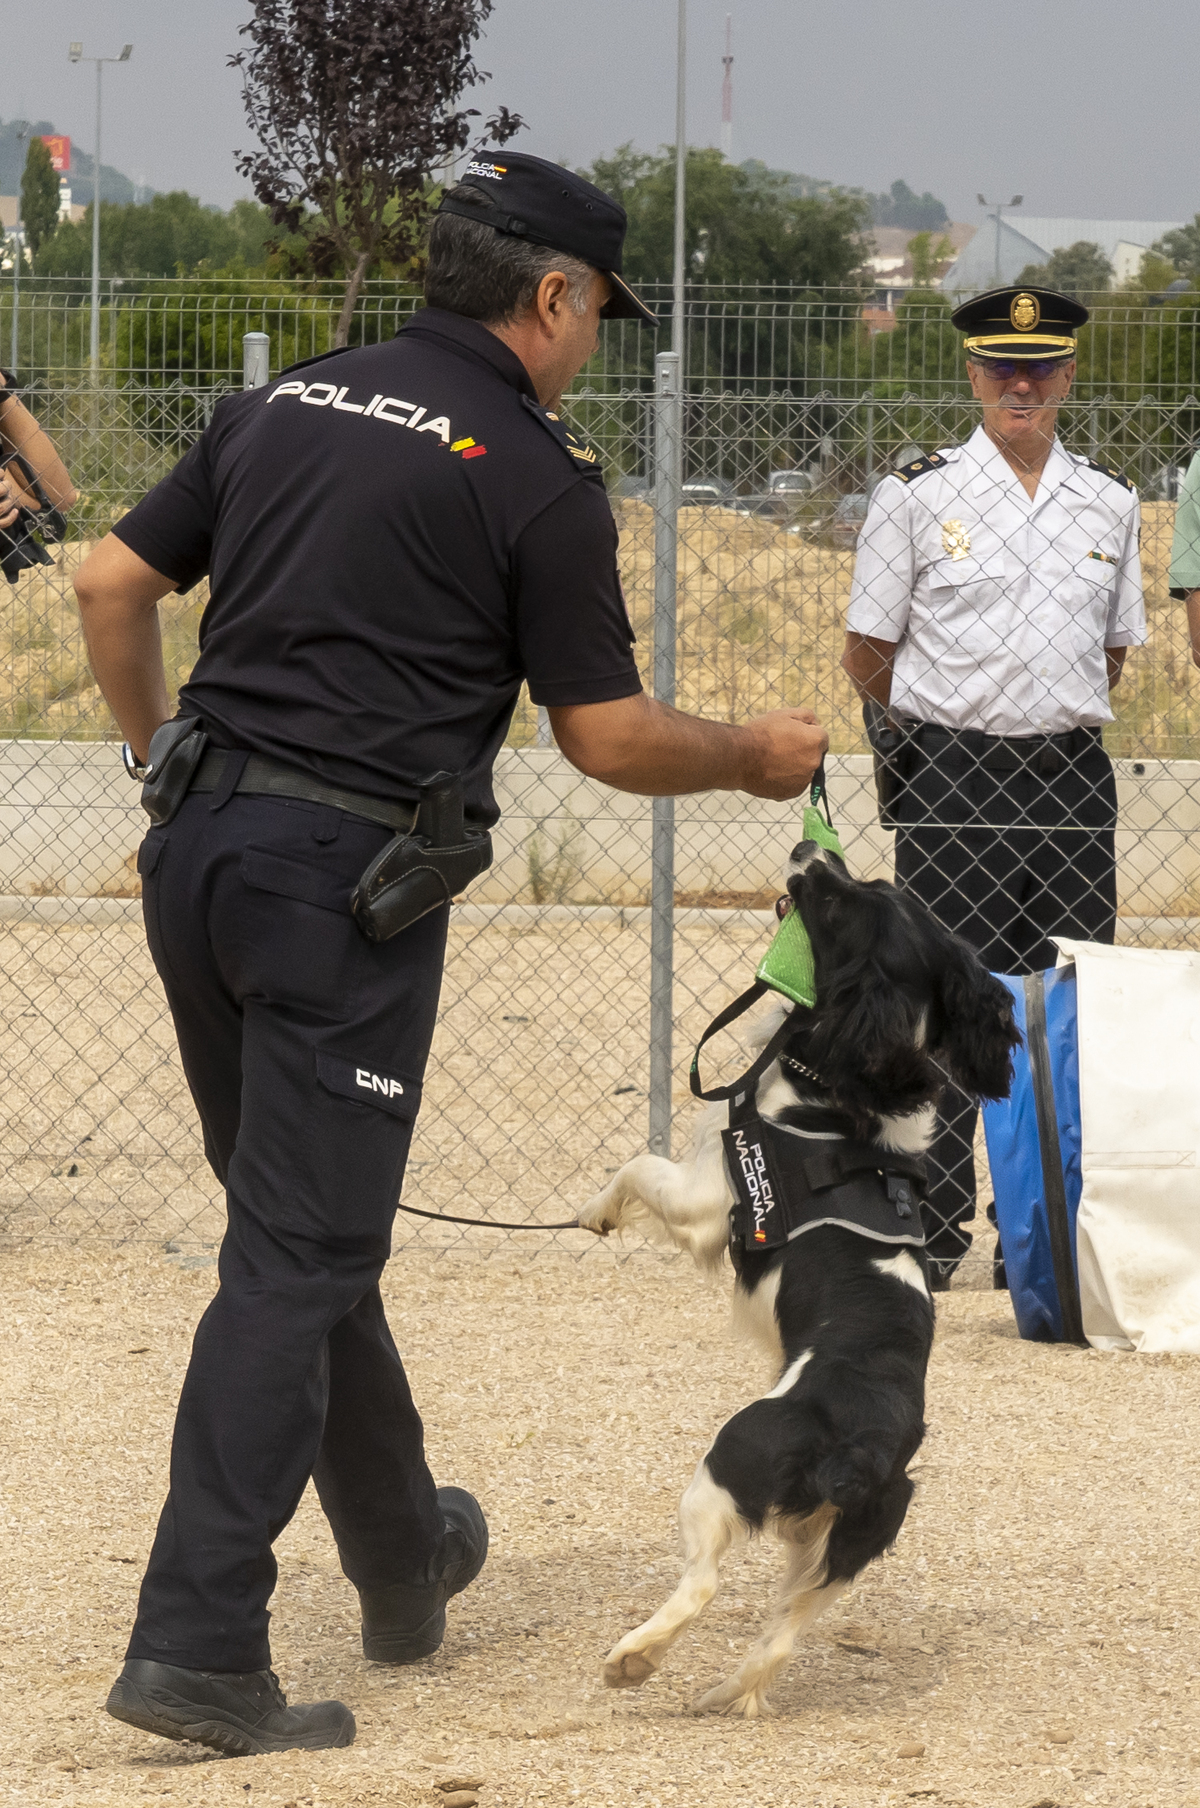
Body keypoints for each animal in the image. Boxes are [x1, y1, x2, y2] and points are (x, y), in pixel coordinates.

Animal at [578, 838, 1019, 1713]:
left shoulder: (711, 1193)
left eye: (844, 901)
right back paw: (723, 1692)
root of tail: (860, 1449)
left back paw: (633, 1658)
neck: (843, 1097)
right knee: (781, 1634)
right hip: (842, 1547)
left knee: (703, 1584)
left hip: (724, 1467)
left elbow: (638, 1165)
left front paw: (596, 1215)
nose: (811, 851)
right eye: (872, 884)